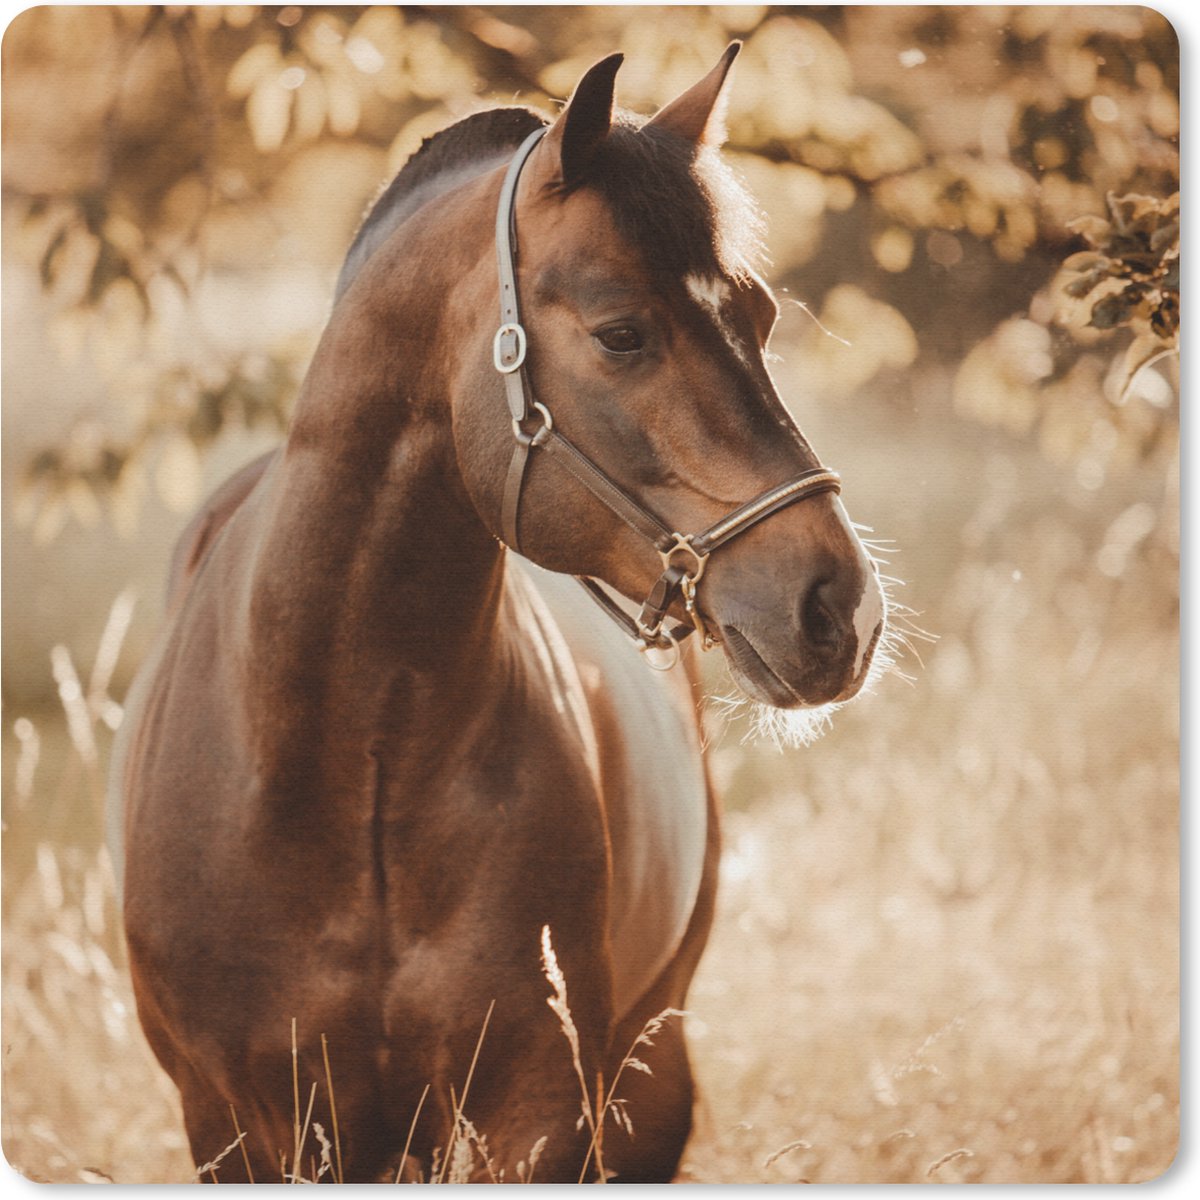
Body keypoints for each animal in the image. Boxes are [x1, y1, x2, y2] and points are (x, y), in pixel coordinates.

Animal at [112, 44, 885, 1183]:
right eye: (621, 333)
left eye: (762, 318)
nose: (842, 607)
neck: (344, 761)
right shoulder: (237, 1124)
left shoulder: (539, 1109)